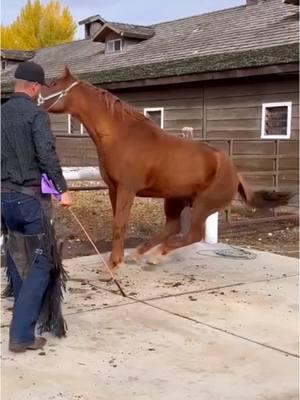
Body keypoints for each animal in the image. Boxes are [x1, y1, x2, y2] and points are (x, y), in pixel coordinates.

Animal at [39, 68, 290, 268]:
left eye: (53, 84)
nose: (35, 100)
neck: (122, 136)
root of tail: (235, 173)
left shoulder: (127, 189)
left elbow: (120, 225)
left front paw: (112, 266)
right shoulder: (113, 189)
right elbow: (117, 224)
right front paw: (117, 260)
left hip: (203, 205)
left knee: (191, 235)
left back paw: (156, 255)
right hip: (176, 199)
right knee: (173, 227)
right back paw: (141, 254)